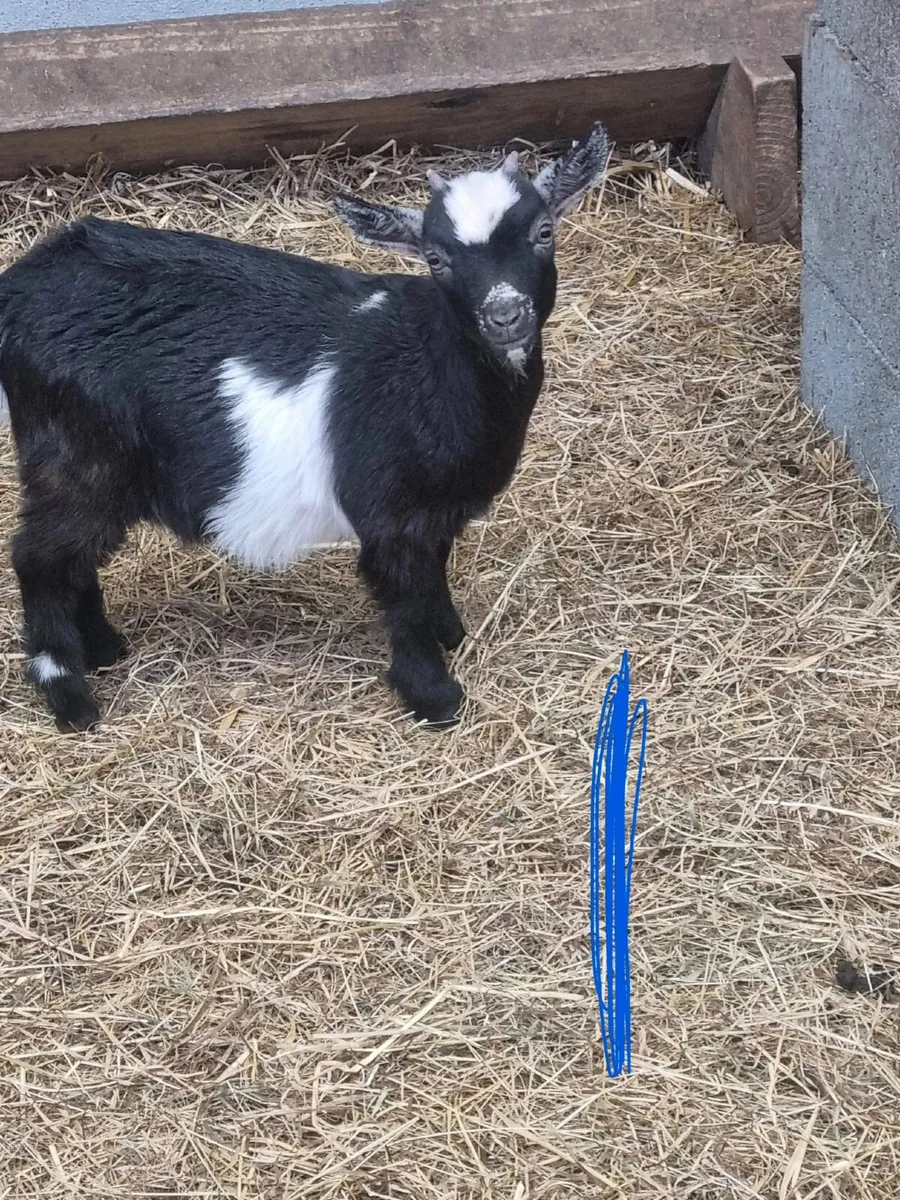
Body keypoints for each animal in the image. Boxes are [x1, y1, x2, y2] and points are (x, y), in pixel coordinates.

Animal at [0, 123, 610, 732]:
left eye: (544, 231)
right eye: (436, 258)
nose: (505, 316)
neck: (425, 363)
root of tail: (20, 289)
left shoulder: (437, 511)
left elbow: (433, 573)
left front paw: (452, 634)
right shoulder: (391, 517)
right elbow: (405, 598)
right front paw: (433, 696)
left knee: (74, 560)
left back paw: (104, 649)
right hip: (75, 458)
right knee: (39, 559)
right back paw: (70, 695)